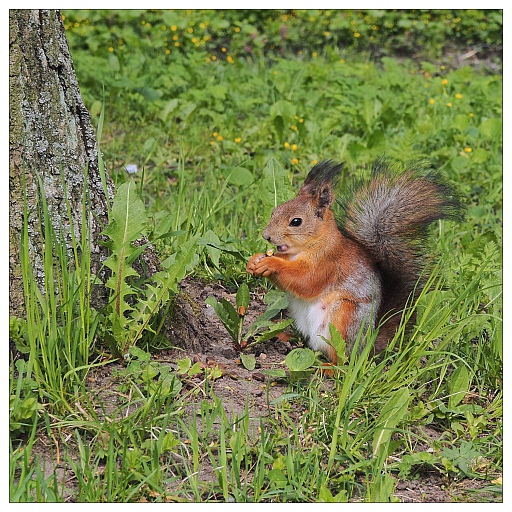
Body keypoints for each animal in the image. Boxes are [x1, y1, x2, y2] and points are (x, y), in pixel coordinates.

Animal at [246, 158, 462, 362]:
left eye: (296, 222)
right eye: (274, 211)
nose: (266, 236)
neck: (305, 248)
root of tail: (367, 347)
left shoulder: (329, 263)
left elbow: (307, 282)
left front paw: (271, 263)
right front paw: (255, 261)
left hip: (344, 319)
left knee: (342, 359)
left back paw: (328, 367)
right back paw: (284, 335)